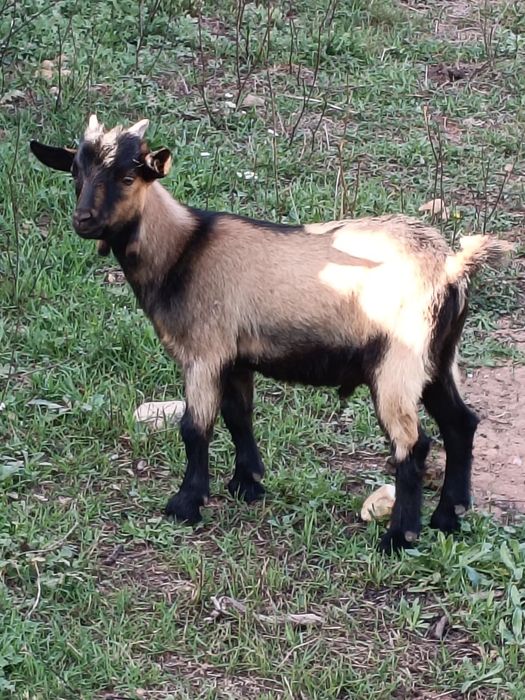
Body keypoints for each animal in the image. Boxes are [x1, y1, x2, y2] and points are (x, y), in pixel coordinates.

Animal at [30, 115, 512, 552]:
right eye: (76, 173)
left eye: (129, 176)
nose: (83, 220)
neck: (183, 251)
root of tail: (450, 266)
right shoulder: (235, 356)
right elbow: (238, 416)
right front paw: (247, 484)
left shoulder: (203, 352)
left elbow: (195, 427)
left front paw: (185, 504)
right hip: (438, 357)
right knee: (460, 423)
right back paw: (449, 516)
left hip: (399, 361)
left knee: (413, 443)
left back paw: (400, 537)